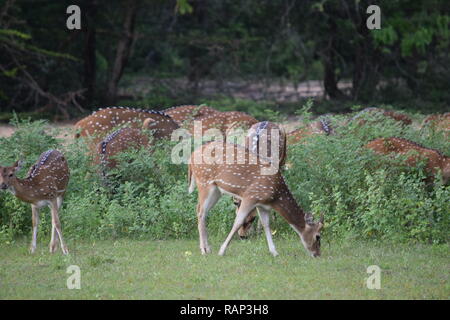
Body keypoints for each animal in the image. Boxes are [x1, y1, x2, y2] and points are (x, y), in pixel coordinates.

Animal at [188, 141, 326, 256]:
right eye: (318, 236)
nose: (317, 254)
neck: (275, 197)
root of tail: (191, 157)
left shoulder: (263, 205)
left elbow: (266, 224)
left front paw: (274, 252)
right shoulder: (250, 196)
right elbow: (238, 222)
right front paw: (222, 251)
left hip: (216, 190)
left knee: (201, 211)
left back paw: (208, 248)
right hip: (204, 183)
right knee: (200, 211)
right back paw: (204, 250)